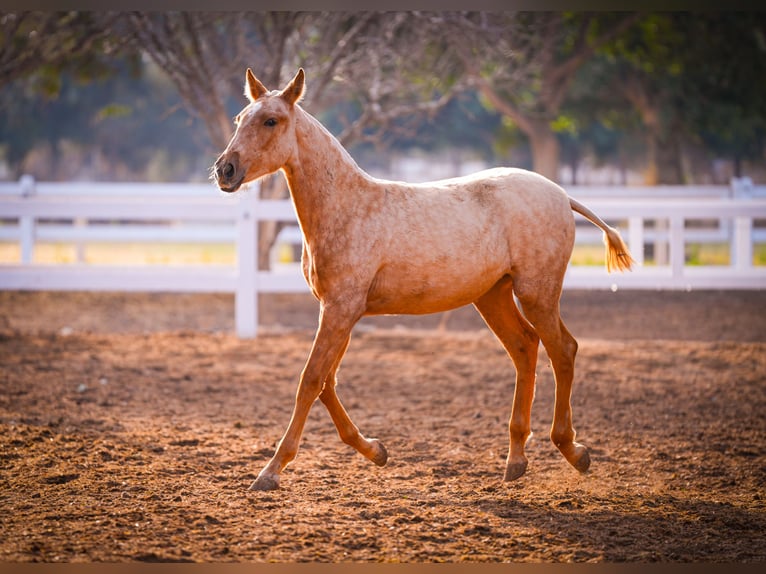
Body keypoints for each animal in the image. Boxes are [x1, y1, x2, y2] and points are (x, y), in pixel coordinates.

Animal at [214, 67, 636, 490]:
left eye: (271, 121)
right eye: (239, 118)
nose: (224, 170)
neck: (347, 207)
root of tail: (562, 195)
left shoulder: (339, 310)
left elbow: (311, 380)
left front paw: (270, 471)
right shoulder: (340, 312)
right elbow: (328, 383)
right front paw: (375, 451)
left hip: (537, 294)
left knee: (563, 349)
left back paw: (573, 450)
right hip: (493, 296)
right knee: (525, 347)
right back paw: (516, 459)